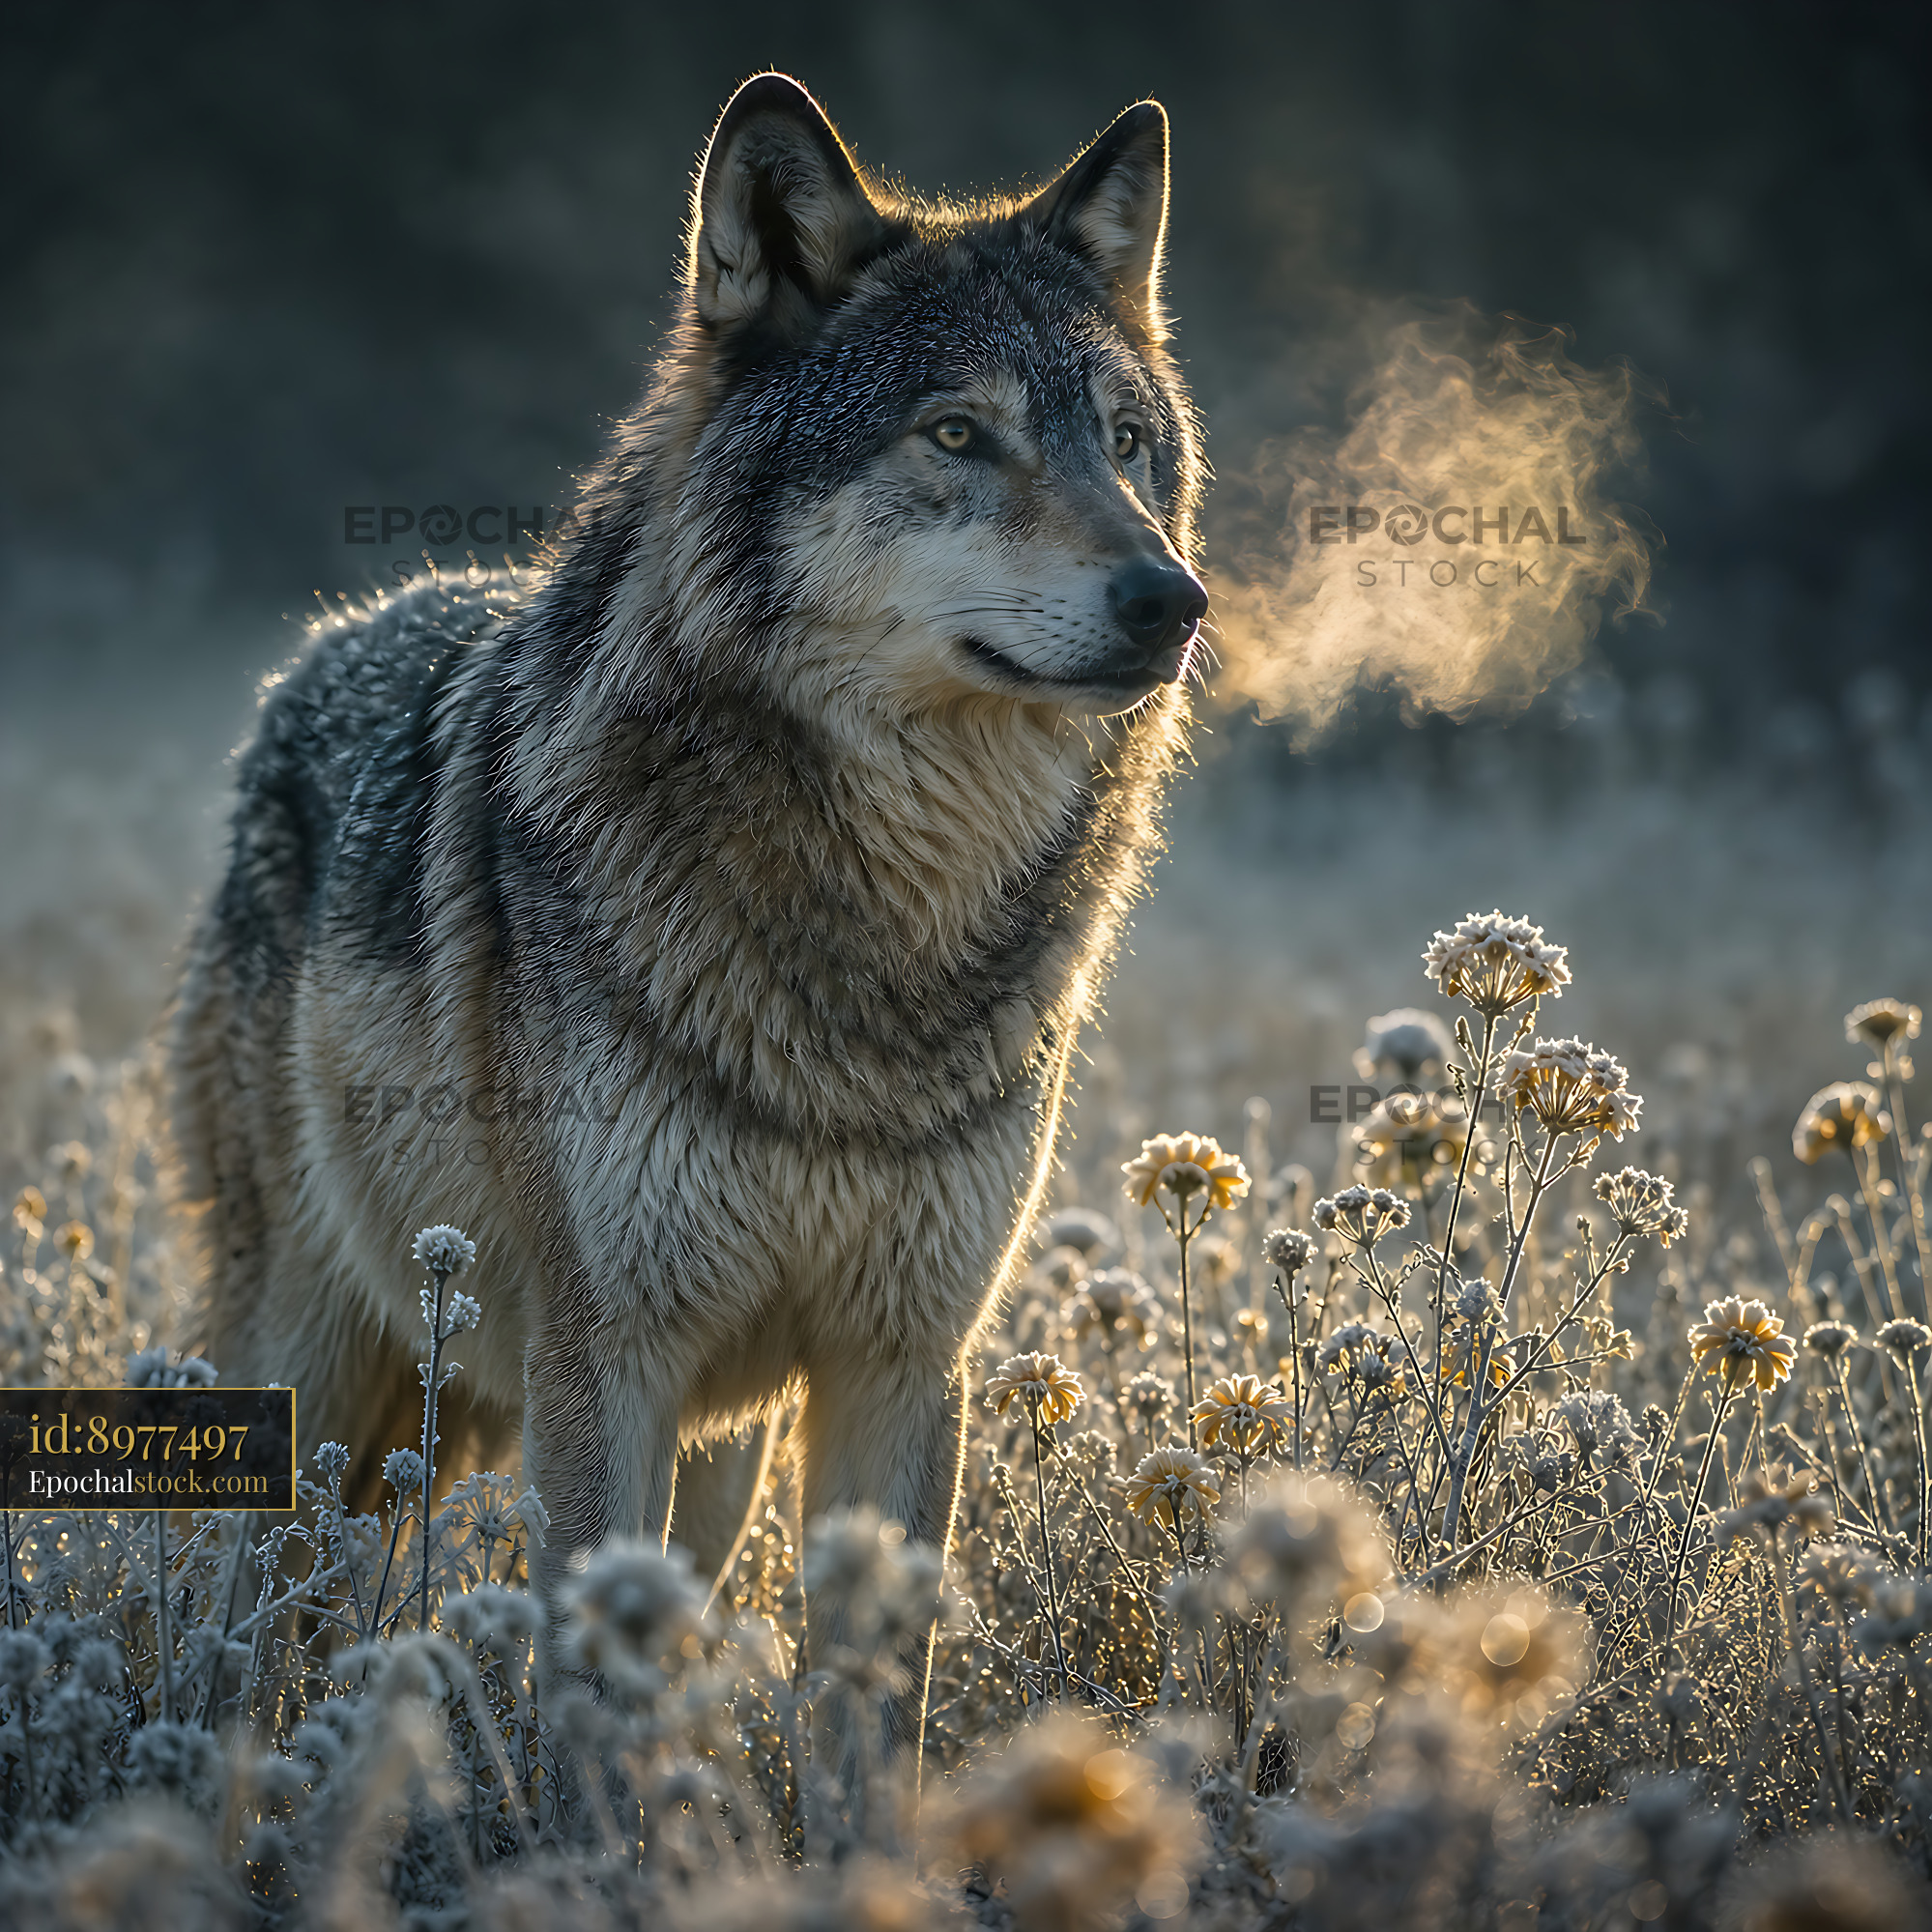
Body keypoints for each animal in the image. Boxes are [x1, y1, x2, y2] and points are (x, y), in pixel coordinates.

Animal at [170, 73, 1206, 1737]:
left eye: (1122, 443)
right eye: (957, 432)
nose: (1171, 601)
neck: (876, 934)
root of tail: (327, 640)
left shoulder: (900, 1362)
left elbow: (867, 1722)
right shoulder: (609, 1364)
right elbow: (586, 1715)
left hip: (708, 1447)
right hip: (323, 1372)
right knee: (247, 1618)